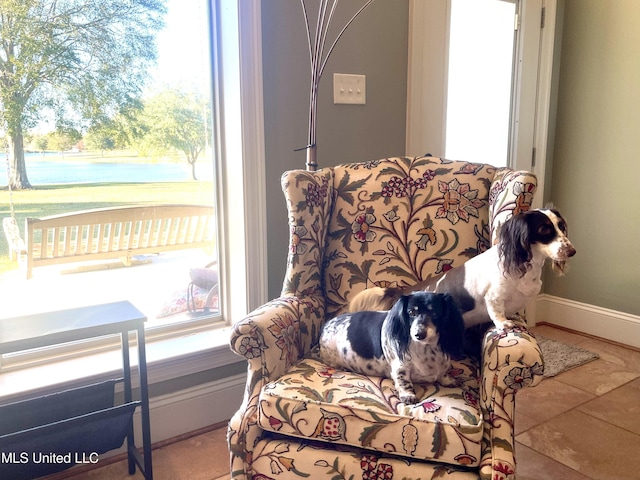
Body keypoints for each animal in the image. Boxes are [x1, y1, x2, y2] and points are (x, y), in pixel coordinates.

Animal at [320, 290, 464, 404]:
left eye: (434, 312)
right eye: (411, 312)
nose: (419, 334)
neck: (426, 349)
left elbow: (443, 373)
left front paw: (447, 379)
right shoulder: (400, 367)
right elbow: (404, 381)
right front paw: (408, 395)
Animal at [348, 208, 576, 332]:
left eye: (562, 226)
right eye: (544, 229)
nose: (572, 251)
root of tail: (401, 292)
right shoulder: (494, 297)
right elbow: (497, 313)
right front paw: (504, 324)